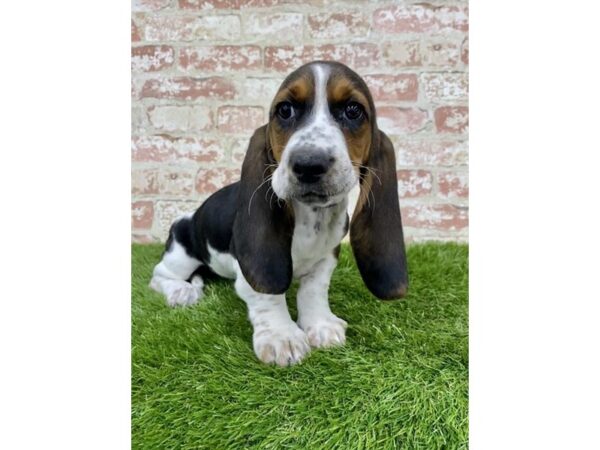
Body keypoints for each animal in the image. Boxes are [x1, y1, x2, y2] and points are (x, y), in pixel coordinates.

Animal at [149, 60, 408, 366]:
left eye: (353, 110)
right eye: (285, 110)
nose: (309, 164)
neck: (311, 216)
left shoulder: (327, 256)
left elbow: (314, 290)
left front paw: (320, 325)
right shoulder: (249, 267)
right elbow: (268, 297)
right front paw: (282, 336)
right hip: (181, 255)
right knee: (159, 275)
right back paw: (181, 291)